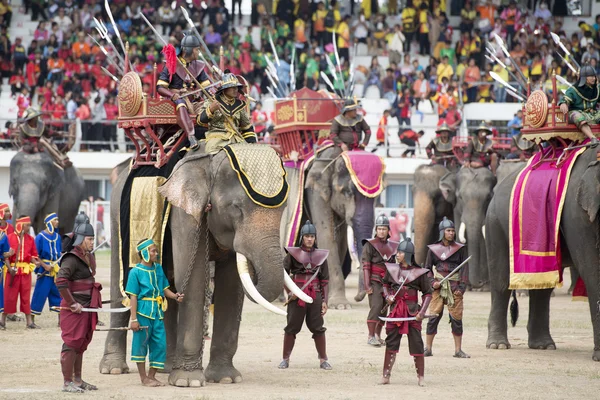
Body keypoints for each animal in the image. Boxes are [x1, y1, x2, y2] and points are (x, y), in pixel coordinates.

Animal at [99, 148, 312, 388]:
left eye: (283, 209)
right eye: (236, 208)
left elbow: (231, 286)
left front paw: (226, 379)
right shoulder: (185, 215)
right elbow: (193, 278)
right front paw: (188, 382)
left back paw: (166, 368)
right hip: (117, 218)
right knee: (122, 286)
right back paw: (114, 369)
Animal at [486, 148, 600, 360]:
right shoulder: (577, 215)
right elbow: (591, 268)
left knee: (543, 287)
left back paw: (543, 346)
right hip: (495, 223)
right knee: (501, 282)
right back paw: (498, 345)